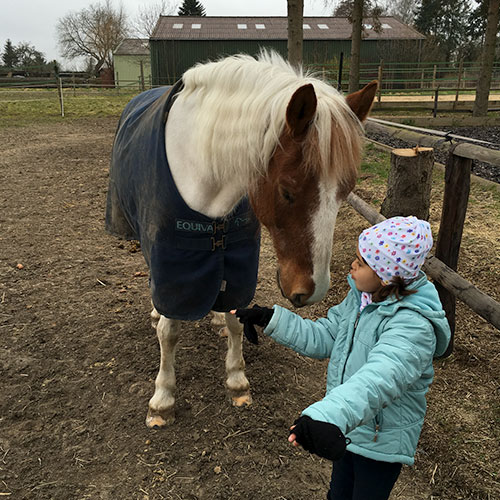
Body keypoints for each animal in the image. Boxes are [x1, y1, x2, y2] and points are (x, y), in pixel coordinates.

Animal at [107, 50, 376, 428]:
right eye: (287, 191)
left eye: (345, 191)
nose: (312, 290)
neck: (205, 170)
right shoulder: (172, 267)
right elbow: (170, 333)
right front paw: (162, 398)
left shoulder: (237, 263)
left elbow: (237, 319)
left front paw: (236, 379)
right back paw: (157, 314)